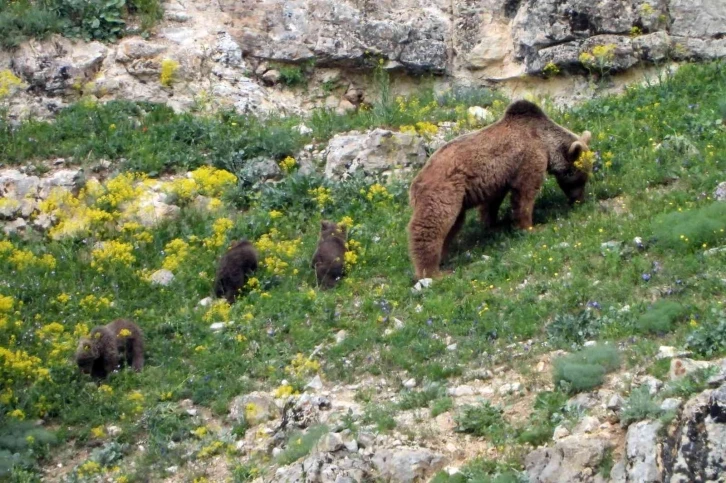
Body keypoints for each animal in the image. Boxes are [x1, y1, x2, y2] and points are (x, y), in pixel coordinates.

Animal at [410, 99, 592, 280]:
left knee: (453, 224)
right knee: (432, 224)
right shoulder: (530, 156)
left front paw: (493, 224)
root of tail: (416, 182)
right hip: (445, 191)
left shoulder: (498, 176)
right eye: (581, 178)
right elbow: (525, 193)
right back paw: (433, 272)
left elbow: (492, 202)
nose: (579, 200)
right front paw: (530, 226)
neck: (546, 143)